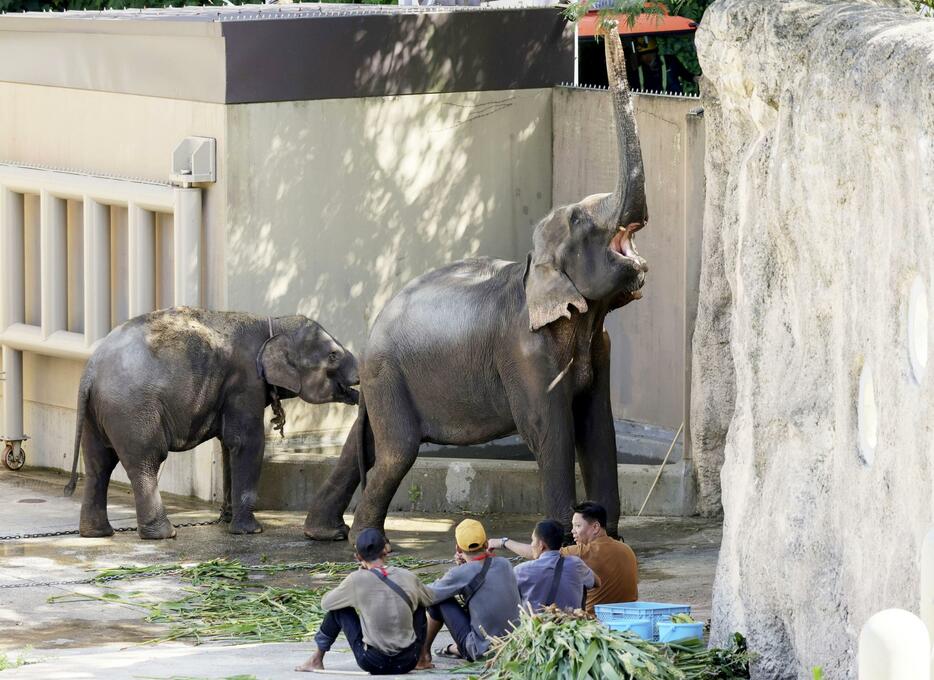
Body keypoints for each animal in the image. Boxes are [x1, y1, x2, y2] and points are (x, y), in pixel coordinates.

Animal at [64, 306, 358, 540]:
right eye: (333, 355)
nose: (357, 384)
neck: (273, 323)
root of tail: (90, 372)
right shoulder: (245, 381)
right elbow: (247, 442)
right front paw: (251, 531)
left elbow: (229, 444)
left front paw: (226, 521)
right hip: (133, 410)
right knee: (145, 462)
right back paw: (163, 534)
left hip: (97, 413)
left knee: (98, 465)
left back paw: (96, 533)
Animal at [308, 23, 652, 540]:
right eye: (579, 221)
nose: (610, 23)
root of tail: (370, 332)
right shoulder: (523, 351)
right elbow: (549, 430)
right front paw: (563, 539)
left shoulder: (601, 346)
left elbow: (598, 428)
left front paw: (608, 540)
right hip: (389, 375)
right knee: (396, 453)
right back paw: (363, 541)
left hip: (380, 382)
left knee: (364, 444)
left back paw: (323, 532)